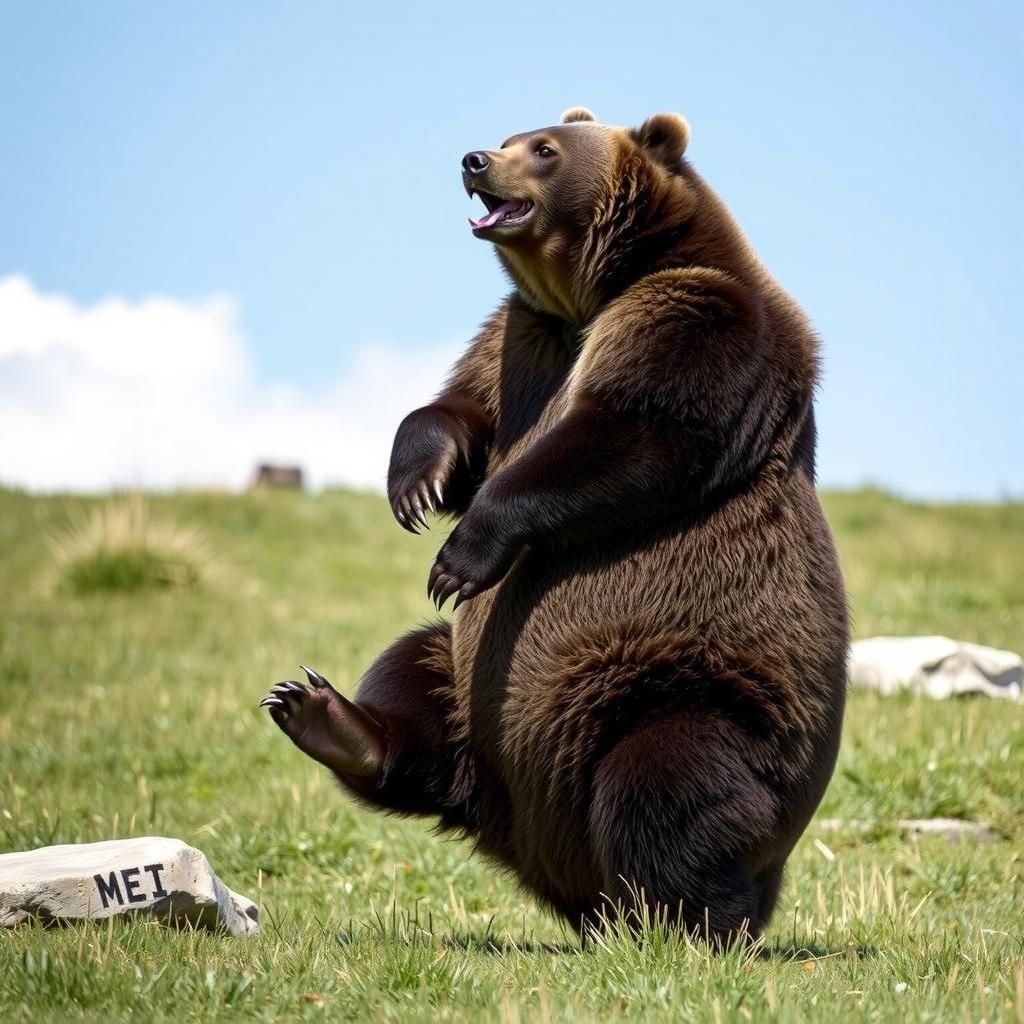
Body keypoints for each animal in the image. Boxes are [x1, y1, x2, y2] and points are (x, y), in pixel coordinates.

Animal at [261, 107, 848, 945]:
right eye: (512, 136)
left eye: (544, 149)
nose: (475, 159)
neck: (590, 294)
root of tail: (553, 862)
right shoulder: (523, 342)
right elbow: (465, 412)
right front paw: (416, 482)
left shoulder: (694, 321)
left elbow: (623, 438)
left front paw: (459, 556)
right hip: (481, 705)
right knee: (415, 672)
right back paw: (325, 715)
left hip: (686, 688)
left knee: (672, 781)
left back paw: (687, 923)